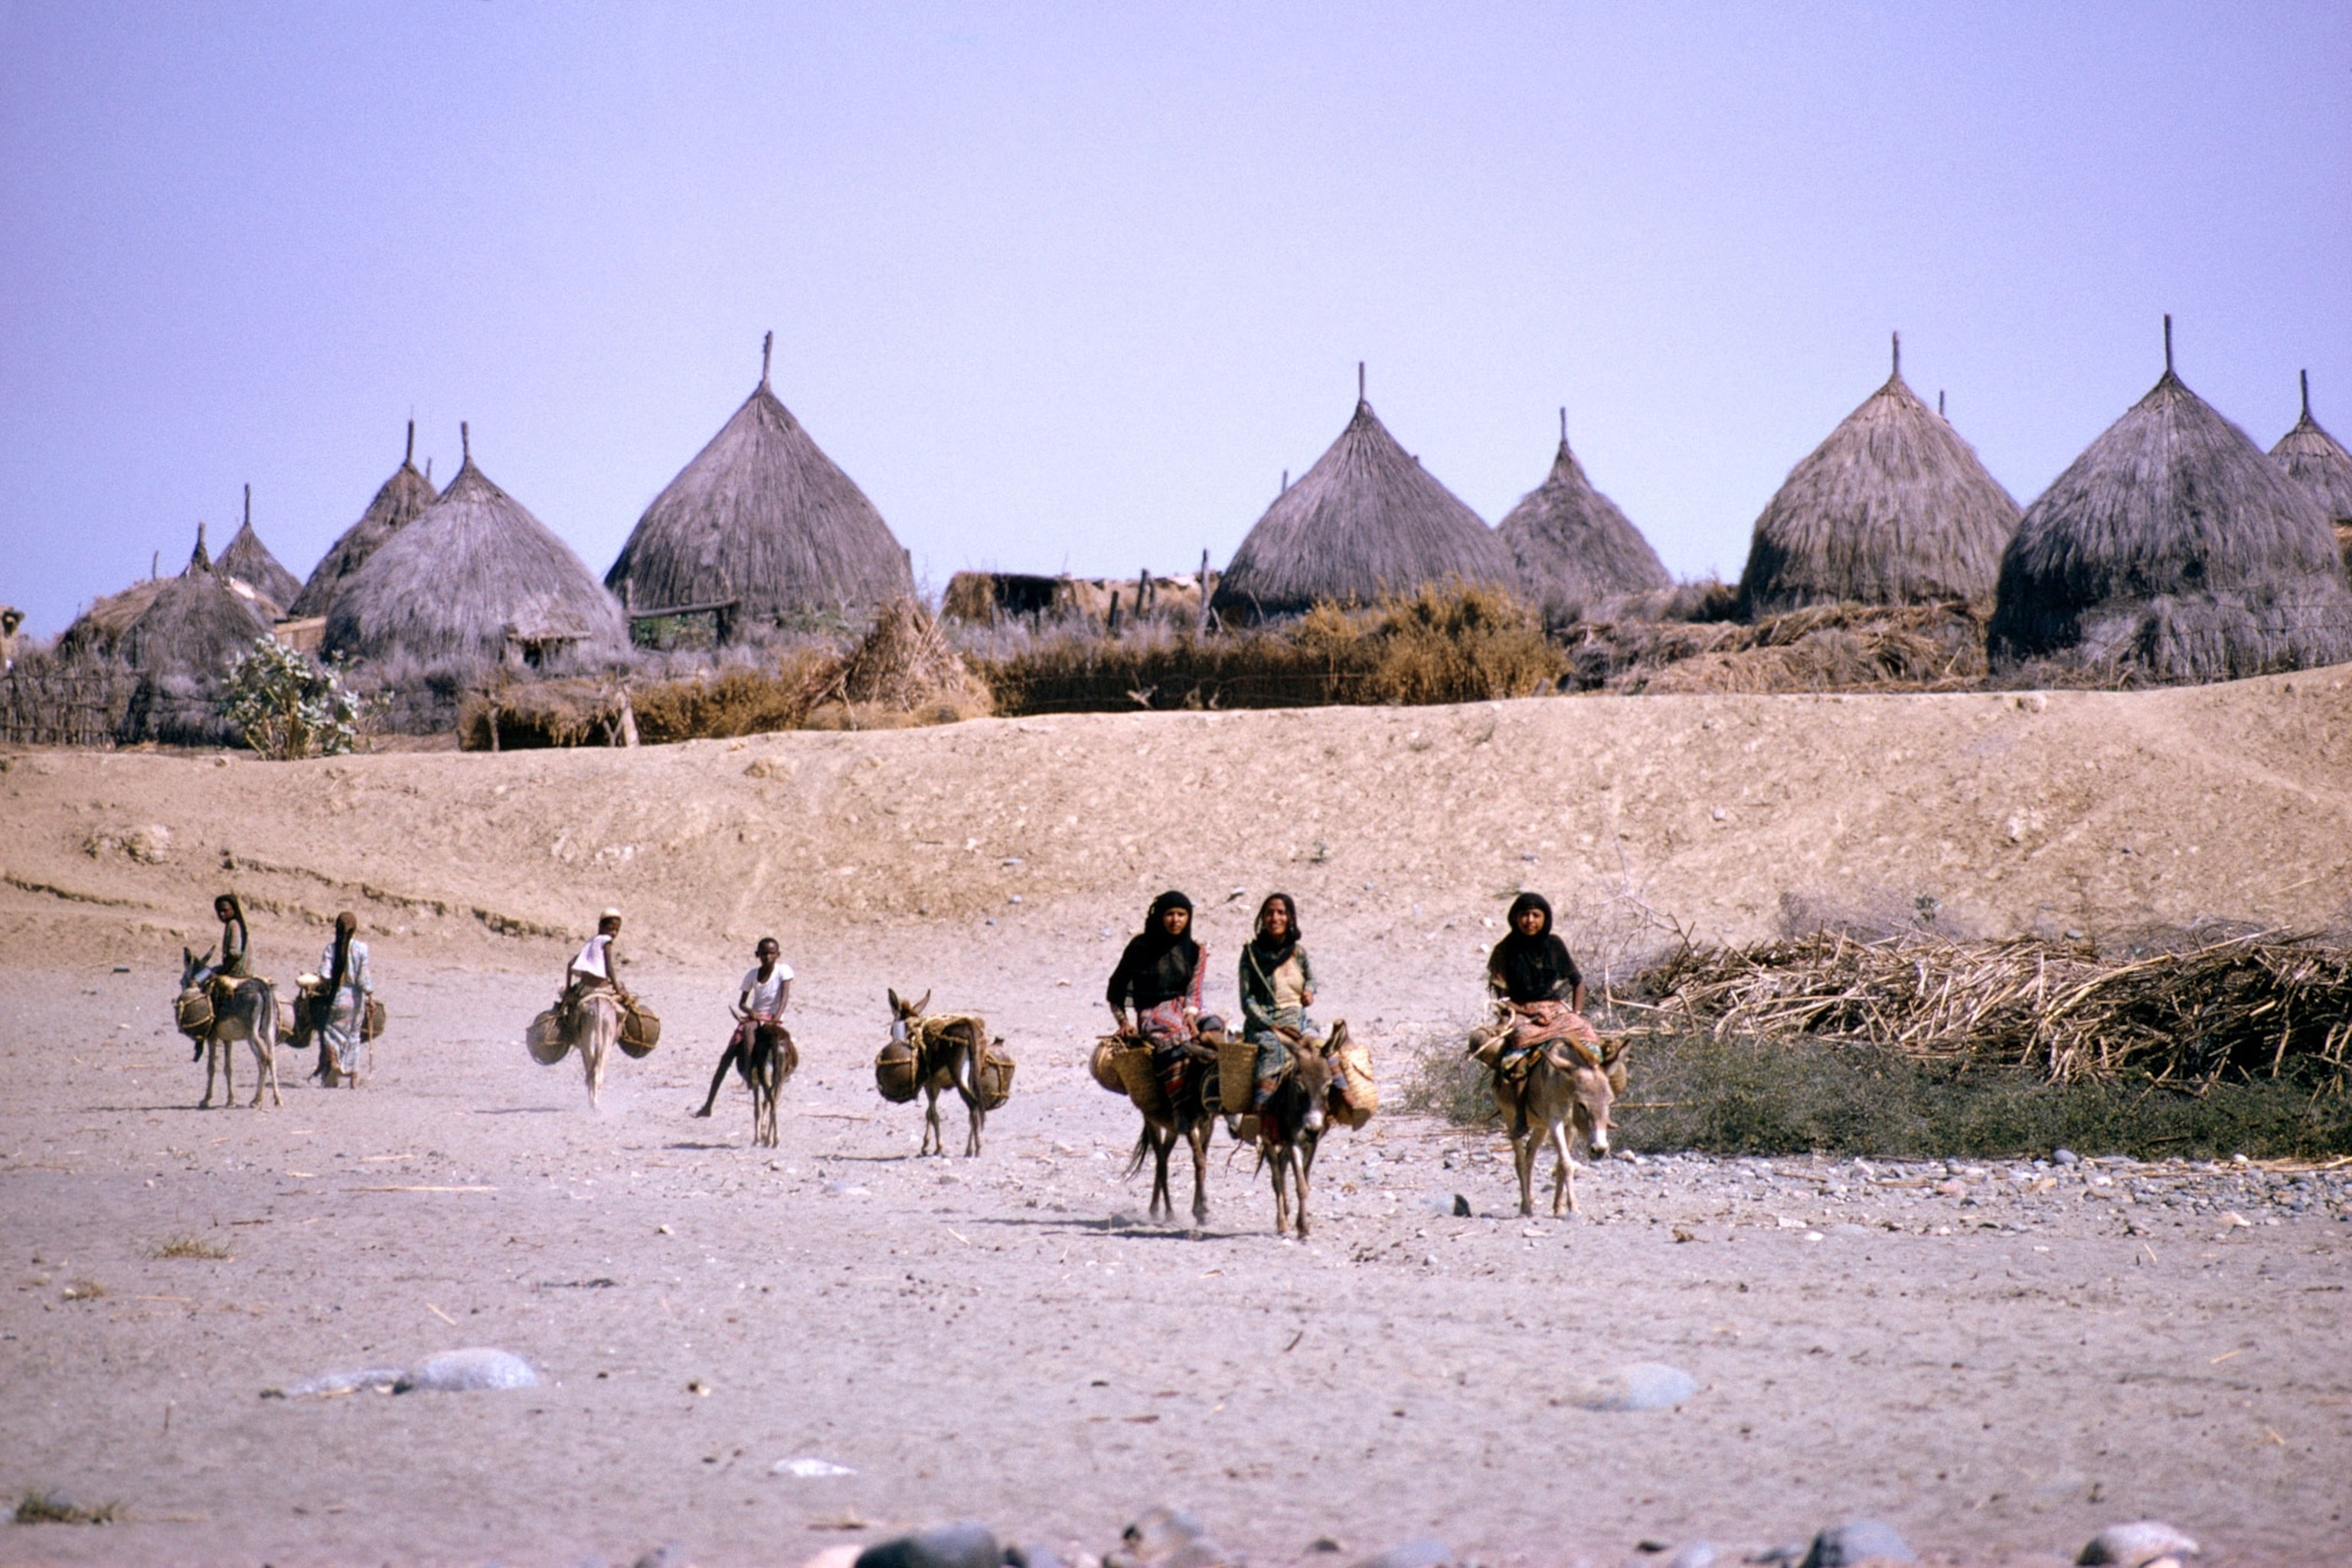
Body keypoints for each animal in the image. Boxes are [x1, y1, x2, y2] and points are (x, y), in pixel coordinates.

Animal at [176, 948, 281, 1109]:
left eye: (181, 981)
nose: (185, 989)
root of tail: (262, 988)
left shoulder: (212, 1038)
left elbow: (211, 1067)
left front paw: (206, 1099)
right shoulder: (227, 1039)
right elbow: (228, 1068)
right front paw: (231, 1100)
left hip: (253, 1035)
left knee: (264, 1058)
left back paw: (258, 1100)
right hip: (268, 1032)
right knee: (271, 1059)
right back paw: (276, 1099)